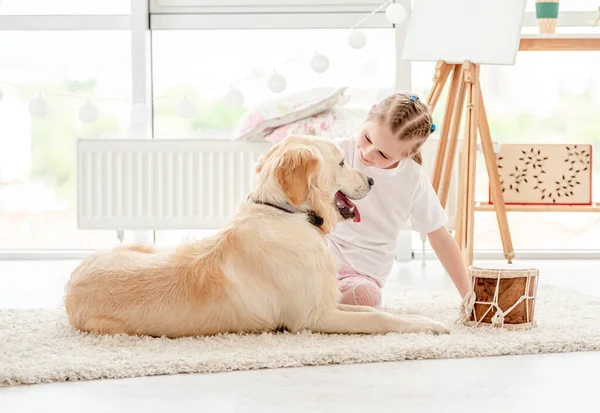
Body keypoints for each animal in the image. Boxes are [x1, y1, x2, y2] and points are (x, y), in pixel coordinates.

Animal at [65, 134, 450, 336]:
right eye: (342, 162)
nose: (371, 180)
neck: (288, 214)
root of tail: (70, 285)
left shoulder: (325, 303)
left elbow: (372, 310)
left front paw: (425, 319)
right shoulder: (311, 319)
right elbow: (378, 316)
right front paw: (432, 325)